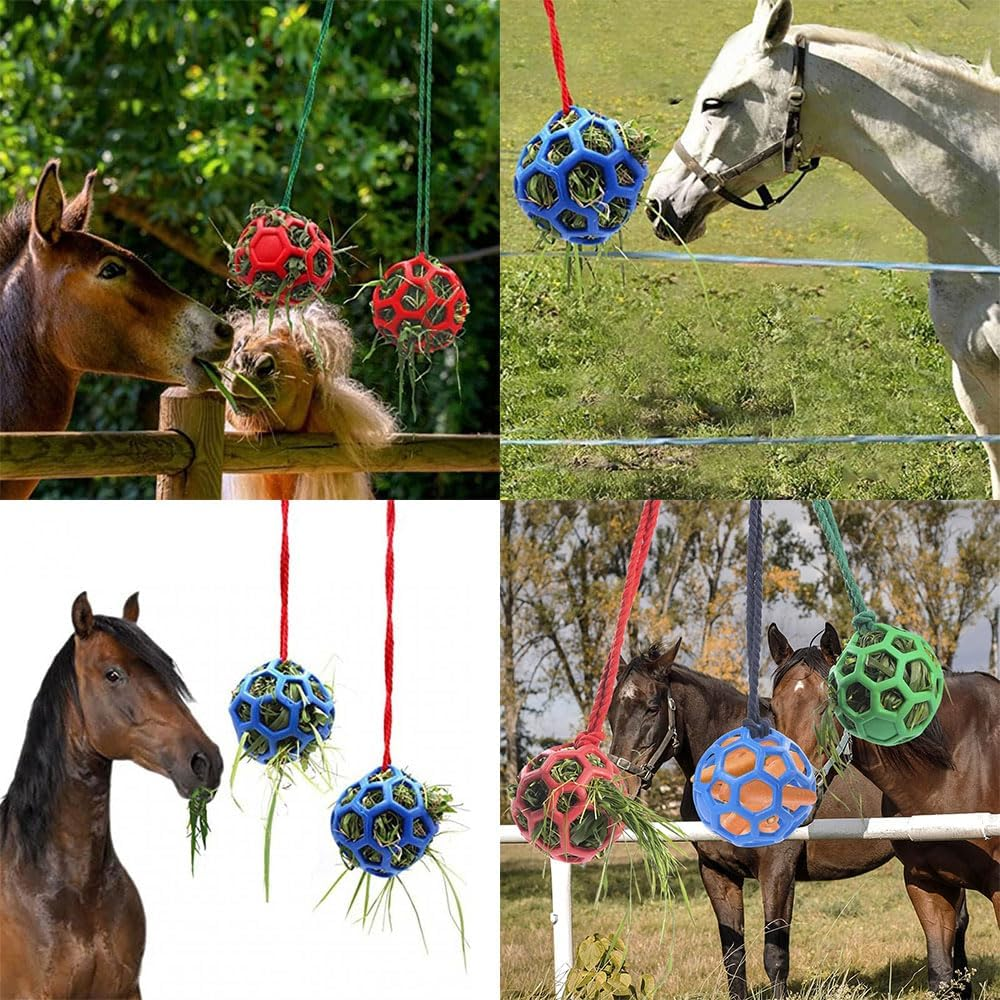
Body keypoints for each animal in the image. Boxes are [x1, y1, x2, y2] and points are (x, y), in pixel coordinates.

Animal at [607, 637, 896, 1000]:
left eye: (652, 707)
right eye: (611, 713)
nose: (619, 786)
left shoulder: (777, 870)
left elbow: (775, 958)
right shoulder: (717, 872)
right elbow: (733, 958)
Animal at [768, 622, 998, 998]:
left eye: (828, 707)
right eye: (773, 709)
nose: (789, 798)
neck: (954, 769)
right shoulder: (927, 884)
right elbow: (940, 974)